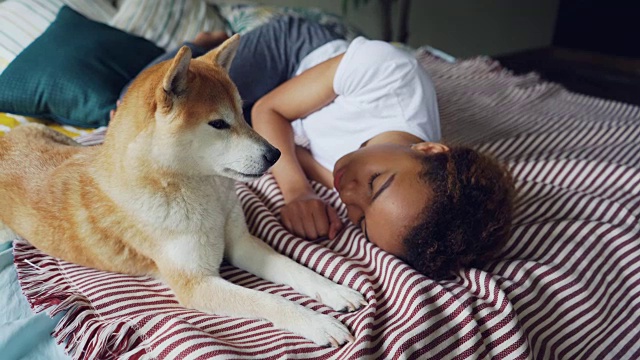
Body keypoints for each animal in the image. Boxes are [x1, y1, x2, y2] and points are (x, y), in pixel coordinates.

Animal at [0, 35, 364, 346]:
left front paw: (334, 290)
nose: (275, 154)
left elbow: (294, 269)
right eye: (219, 124)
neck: (202, 192)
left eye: (242, 112)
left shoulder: (240, 244)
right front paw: (317, 323)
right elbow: (269, 300)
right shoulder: (196, 283)